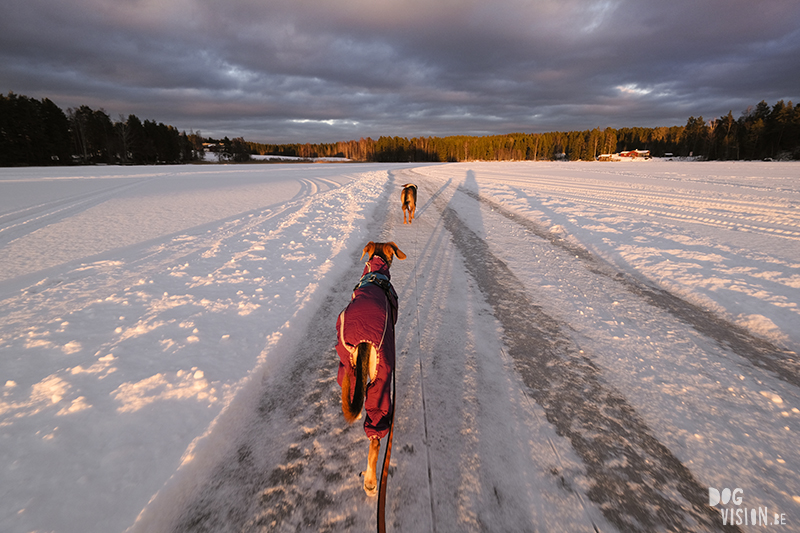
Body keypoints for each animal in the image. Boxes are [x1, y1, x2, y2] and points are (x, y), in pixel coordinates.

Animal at [336, 240, 406, 494]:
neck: (376, 273)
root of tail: (365, 338)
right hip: (383, 374)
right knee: (375, 438)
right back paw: (370, 481)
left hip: (348, 361)